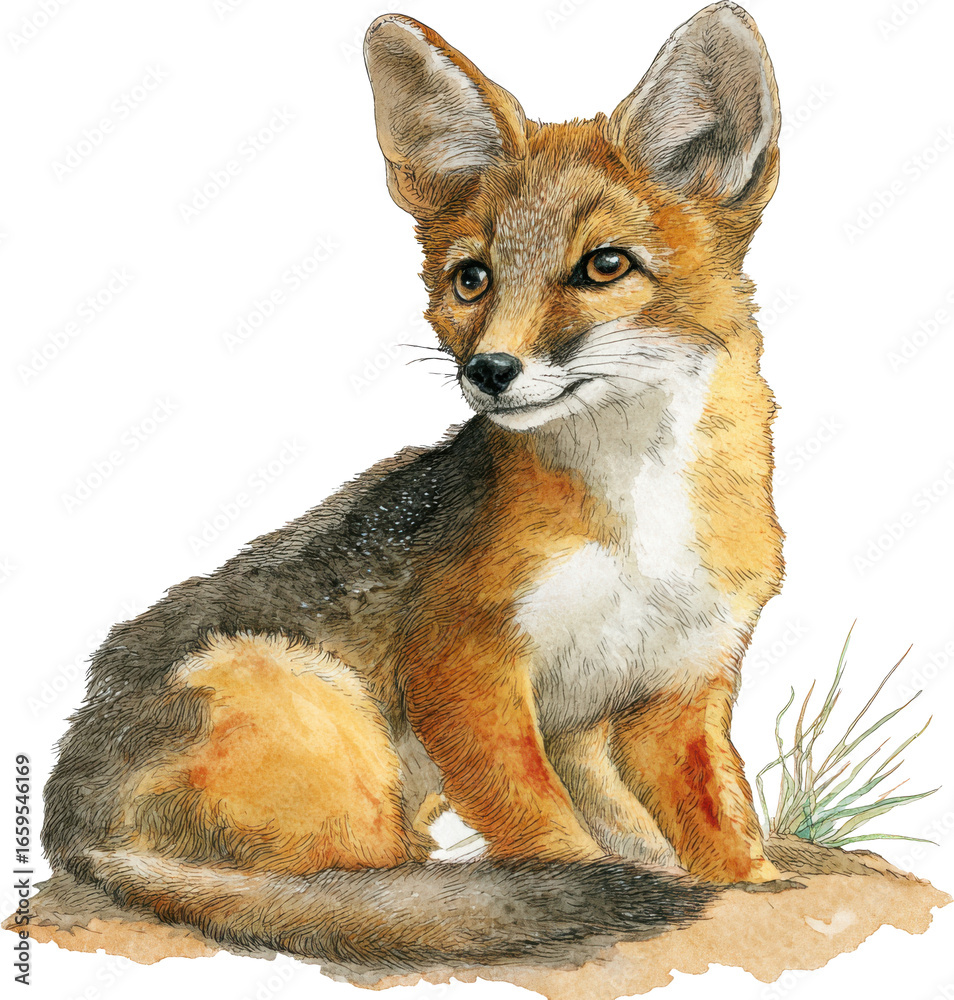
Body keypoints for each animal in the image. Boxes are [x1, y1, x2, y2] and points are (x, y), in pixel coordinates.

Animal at [41, 2, 787, 972]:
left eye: (605, 265)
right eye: (472, 278)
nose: (489, 371)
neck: (640, 528)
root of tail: (67, 822)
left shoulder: (680, 688)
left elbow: (721, 831)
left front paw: (755, 884)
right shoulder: (462, 669)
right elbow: (542, 830)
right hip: (327, 715)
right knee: (349, 895)